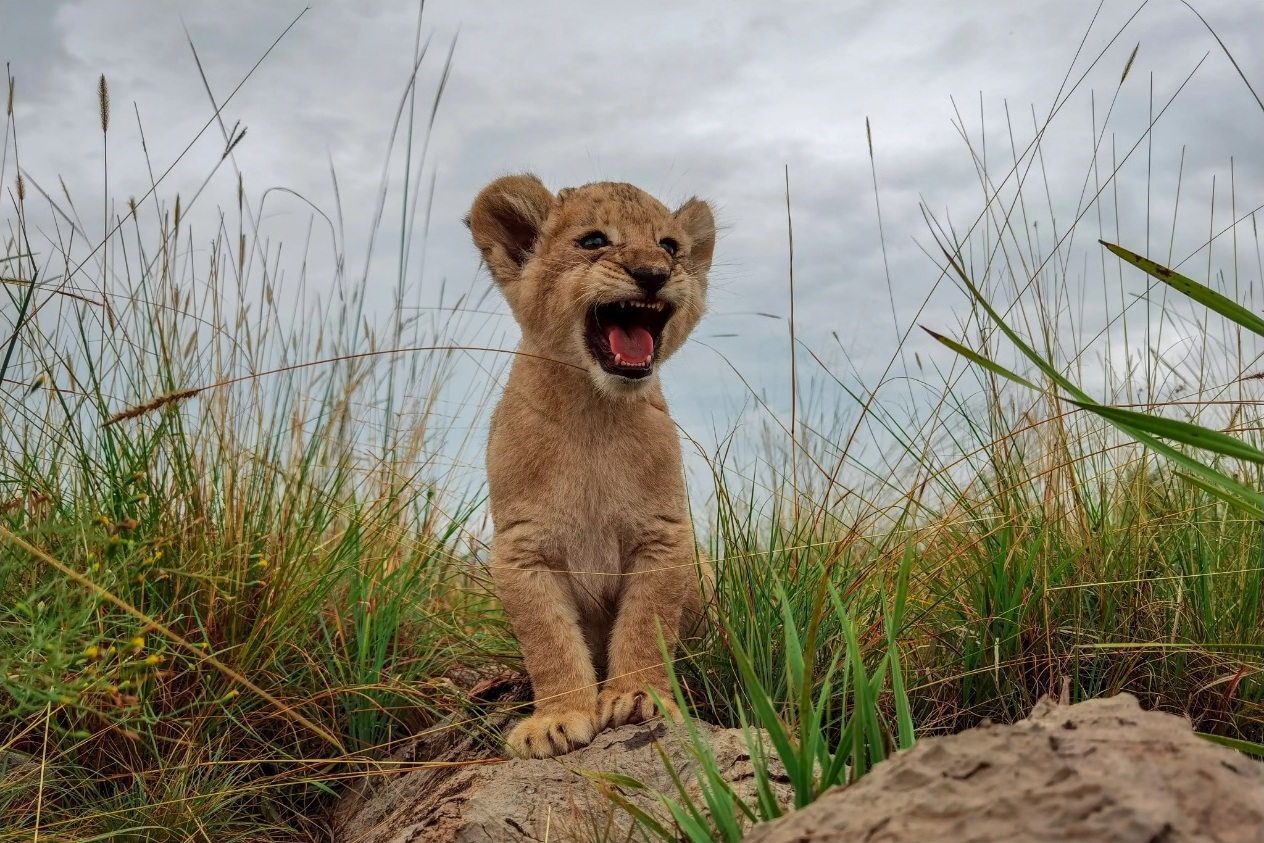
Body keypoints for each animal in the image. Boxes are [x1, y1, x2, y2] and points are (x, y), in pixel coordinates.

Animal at [467, 175, 716, 759]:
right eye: (594, 241)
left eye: (670, 246)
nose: (654, 273)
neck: (593, 412)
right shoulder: (521, 548)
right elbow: (549, 641)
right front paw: (555, 719)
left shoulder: (664, 535)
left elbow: (647, 624)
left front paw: (640, 697)